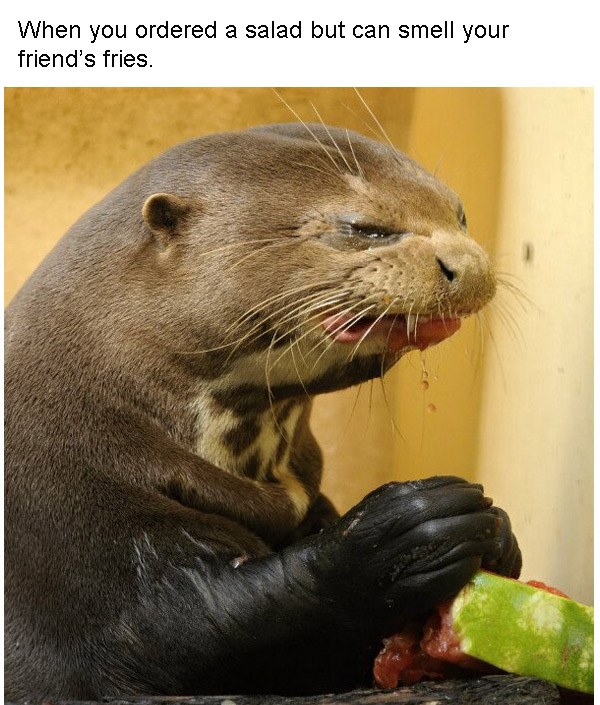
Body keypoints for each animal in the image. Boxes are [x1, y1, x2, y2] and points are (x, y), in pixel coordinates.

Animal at [4, 123, 521, 701]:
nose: (469, 266)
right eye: (366, 228)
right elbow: (194, 627)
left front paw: (500, 533)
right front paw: (401, 534)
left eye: (460, 213)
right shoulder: (80, 538)